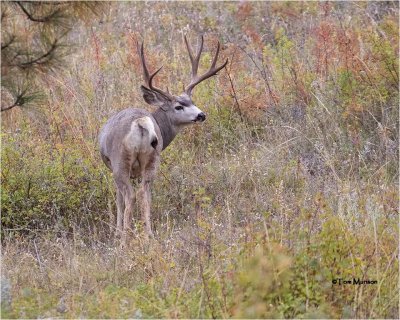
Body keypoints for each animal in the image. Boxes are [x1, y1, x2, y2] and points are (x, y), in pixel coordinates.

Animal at [98, 35, 227, 242]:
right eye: (179, 106)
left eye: (190, 102)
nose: (201, 115)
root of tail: (141, 123)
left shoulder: (111, 166)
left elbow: (118, 199)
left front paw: (117, 232)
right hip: (152, 158)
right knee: (145, 193)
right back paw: (149, 234)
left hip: (120, 161)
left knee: (131, 195)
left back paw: (125, 237)